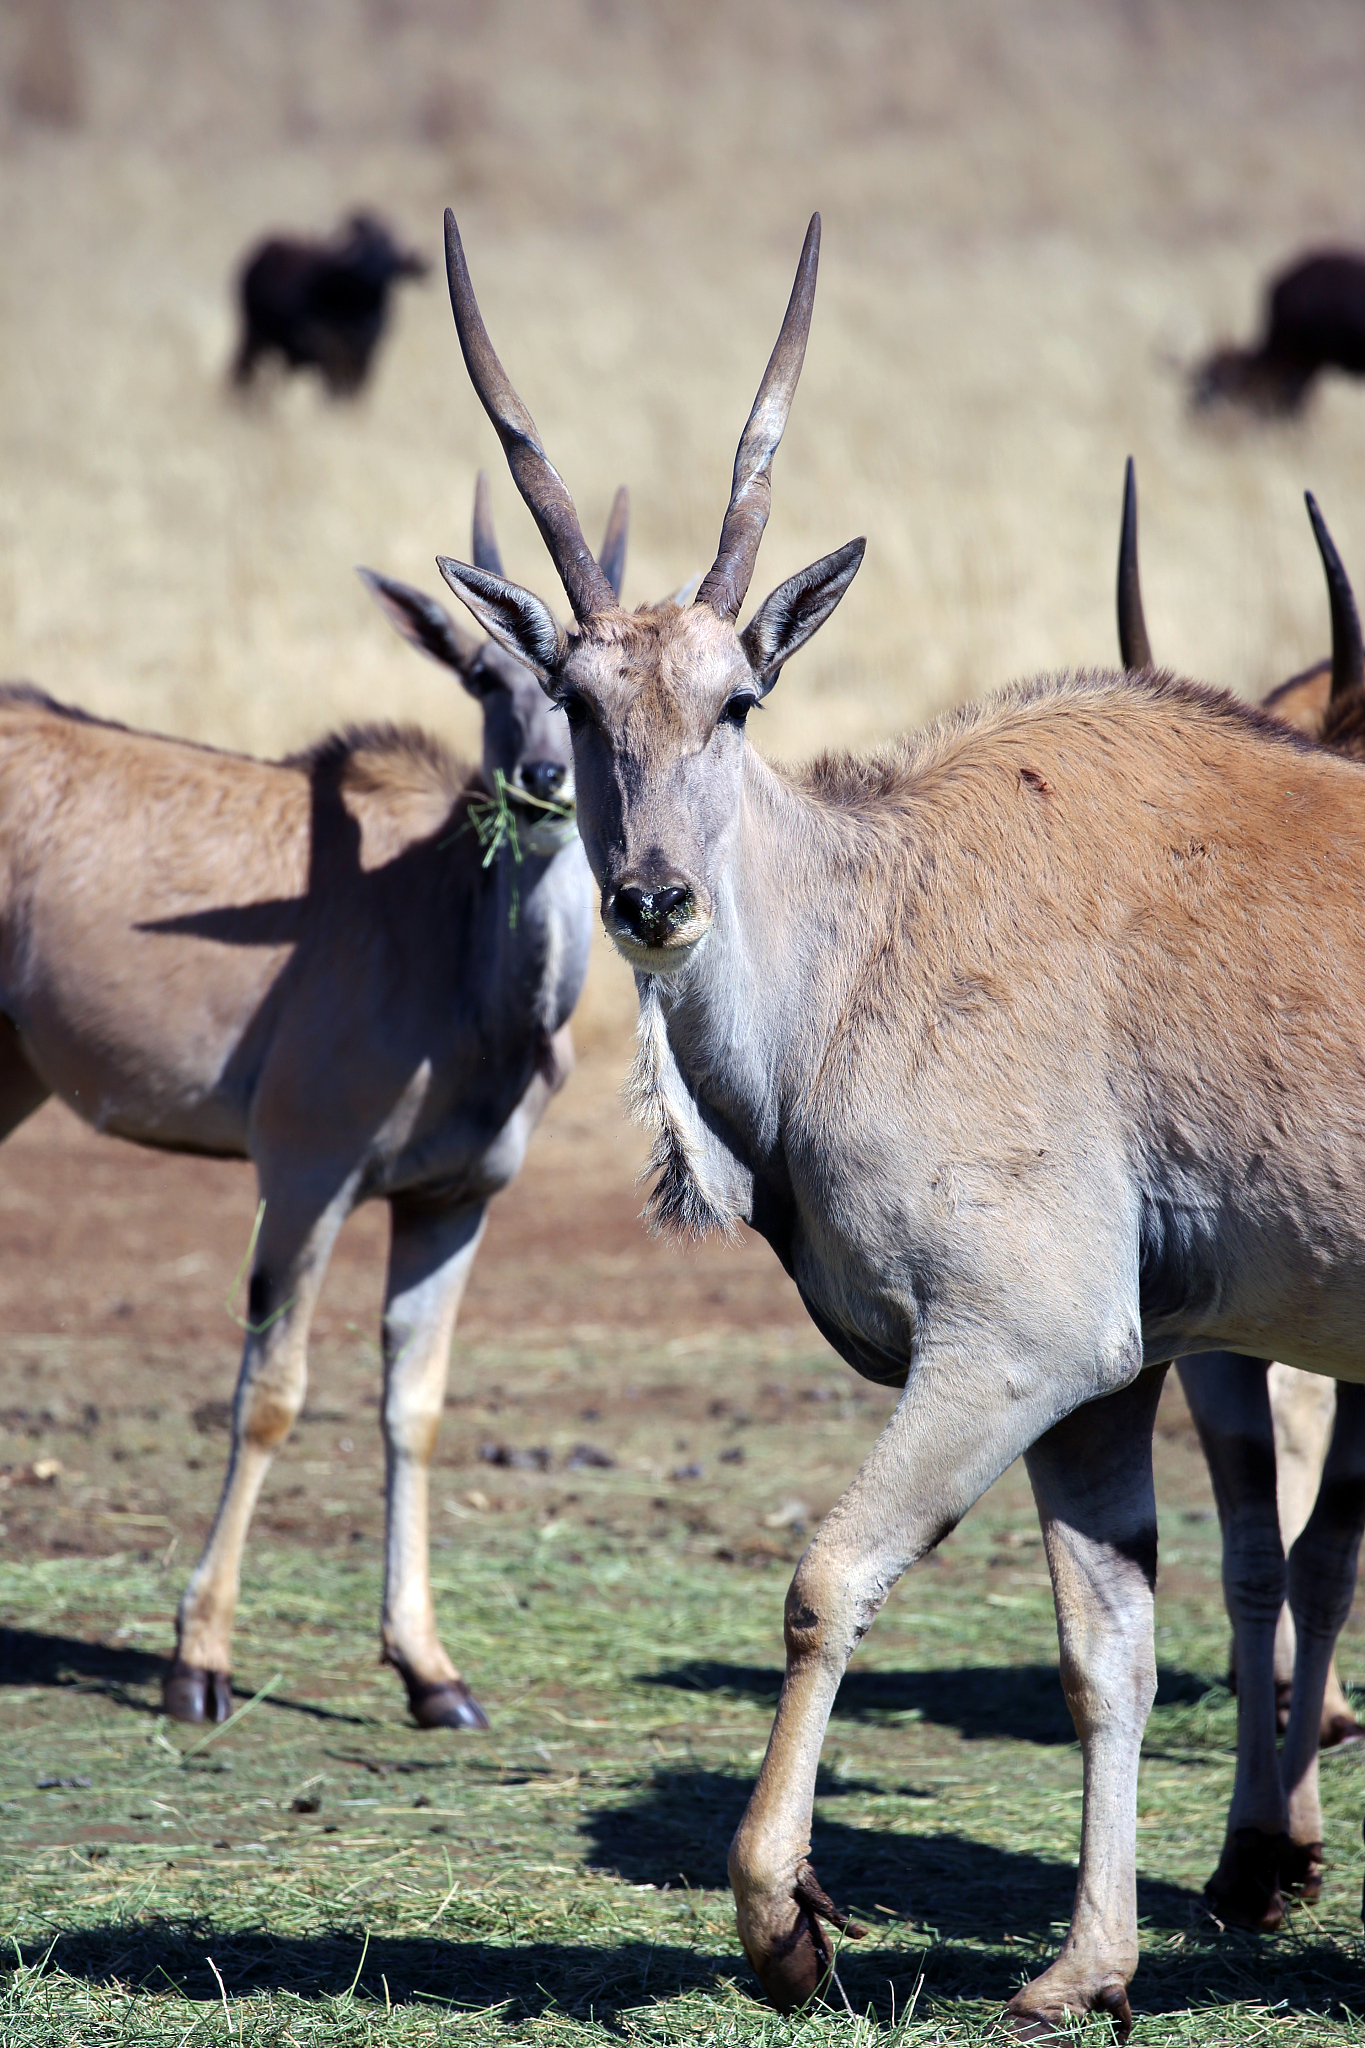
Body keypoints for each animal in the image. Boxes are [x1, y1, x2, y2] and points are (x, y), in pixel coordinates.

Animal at [0, 475, 626, 1728]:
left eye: (583, 696)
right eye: (485, 677)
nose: (544, 785)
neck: (450, 935)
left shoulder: (451, 1203)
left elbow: (414, 1403)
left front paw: (433, 1671)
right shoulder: (305, 1176)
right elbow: (272, 1393)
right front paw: (198, 1659)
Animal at [431, 203, 1365, 2031]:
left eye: (737, 698)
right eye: (574, 698)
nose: (653, 899)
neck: (881, 920)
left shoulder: (1018, 1342)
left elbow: (824, 1579)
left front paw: (783, 1921)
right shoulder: (1104, 1380)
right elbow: (1105, 1654)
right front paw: (1085, 1966)